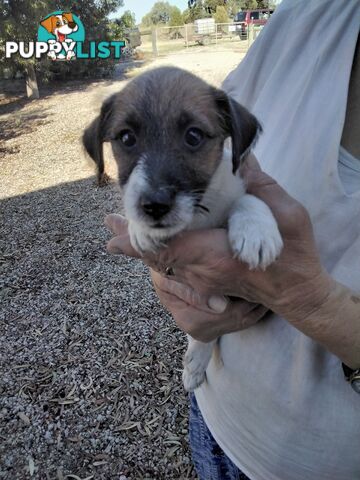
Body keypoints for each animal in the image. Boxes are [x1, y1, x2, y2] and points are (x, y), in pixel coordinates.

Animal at [83, 66, 282, 390]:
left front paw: (257, 233)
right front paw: (141, 229)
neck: (198, 217)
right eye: (126, 138)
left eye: (193, 136)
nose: (154, 205)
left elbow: (247, 199)